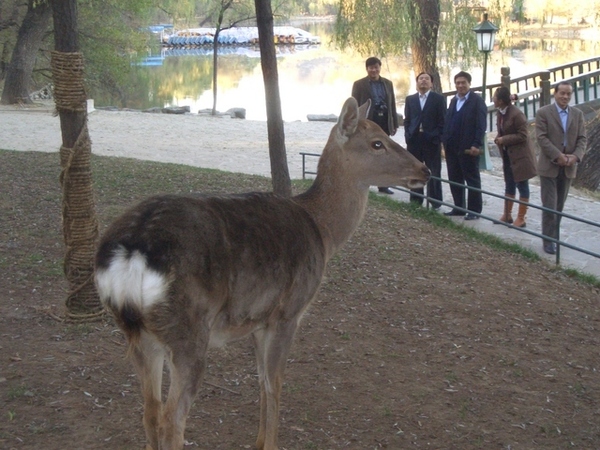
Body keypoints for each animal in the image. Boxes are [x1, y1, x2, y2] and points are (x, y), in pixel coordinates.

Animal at [95, 96, 432, 448]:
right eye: (377, 142)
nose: (425, 170)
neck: (322, 231)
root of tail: (130, 250)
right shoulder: (288, 312)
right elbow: (276, 383)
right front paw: (271, 442)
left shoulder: (257, 319)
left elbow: (259, 381)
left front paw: (258, 441)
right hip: (188, 331)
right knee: (171, 417)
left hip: (139, 333)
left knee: (149, 410)